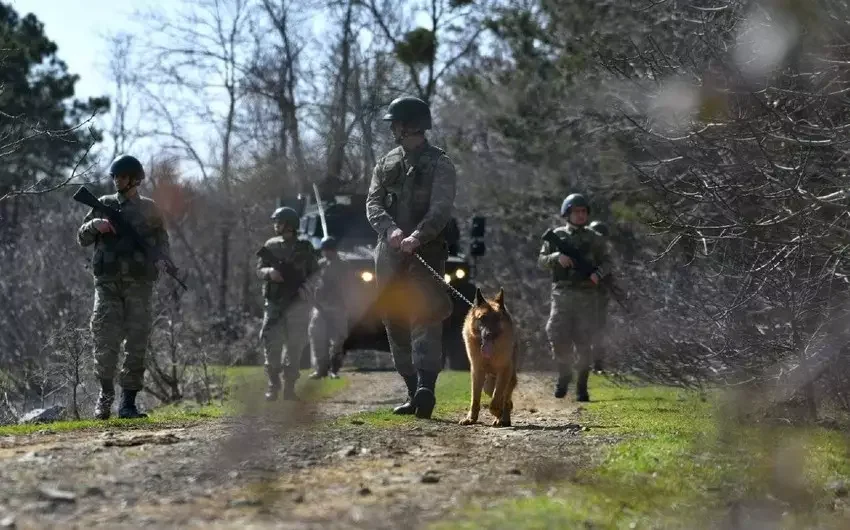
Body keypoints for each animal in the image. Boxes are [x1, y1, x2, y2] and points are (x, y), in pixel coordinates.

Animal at [458, 286, 516, 426]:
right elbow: (475, 399)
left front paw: (498, 413)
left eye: (497, 319)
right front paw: (471, 418)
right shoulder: (477, 372)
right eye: (483, 318)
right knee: (504, 399)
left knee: (506, 399)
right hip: (488, 386)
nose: (488, 334)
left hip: (507, 378)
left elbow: (496, 399)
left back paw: (503, 418)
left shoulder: (504, 371)